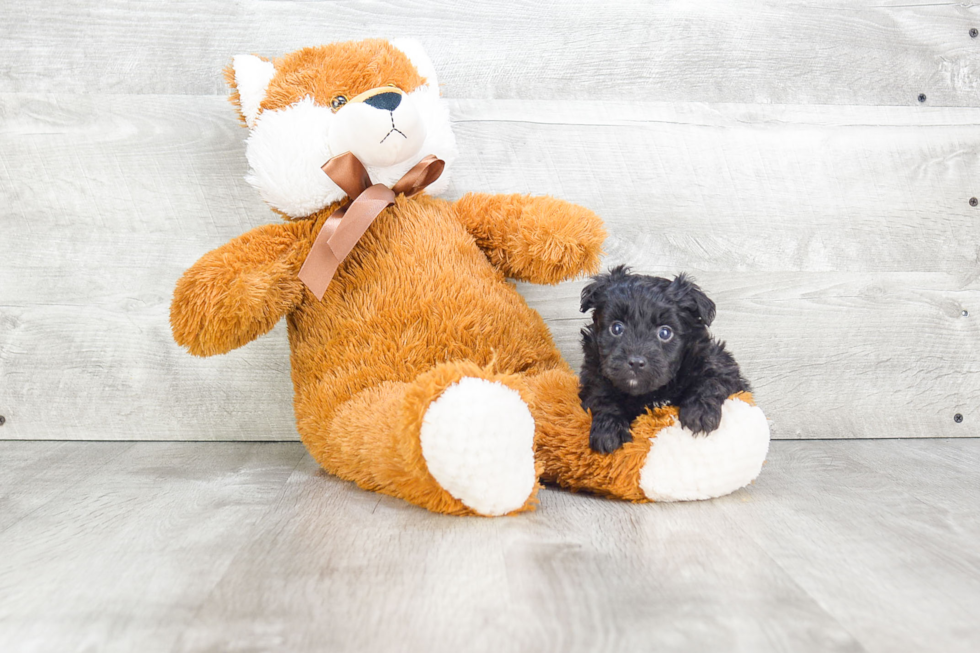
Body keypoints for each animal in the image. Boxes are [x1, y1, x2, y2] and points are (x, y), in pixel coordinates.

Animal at [580, 264, 748, 454]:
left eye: (665, 333)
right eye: (616, 328)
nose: (636, 362)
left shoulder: (719, 362)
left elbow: (711, 380)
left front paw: (699, 412)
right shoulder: (593, 374)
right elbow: (601, 394)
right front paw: (608, 429)